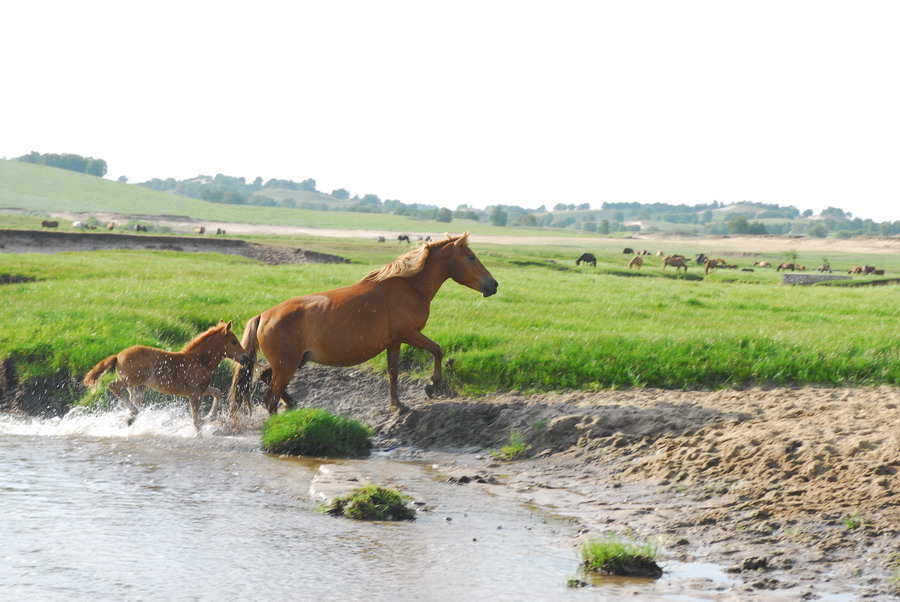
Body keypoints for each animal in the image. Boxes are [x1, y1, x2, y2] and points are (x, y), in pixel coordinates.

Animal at [83, 322, 248, 428]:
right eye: (234, 341)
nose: (245, 358)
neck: (200, 361)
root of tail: (118, 356)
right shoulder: (194, 394)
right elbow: (196, 421)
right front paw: (199, 433)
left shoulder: (201, 389)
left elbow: (217, 393)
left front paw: (209, 416)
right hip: (133, 380)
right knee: (113, 386)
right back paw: (134, 412)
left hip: (138, 387)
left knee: (131, 399)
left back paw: (132, 416)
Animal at [229, 232, 500, 414]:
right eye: (471, 257)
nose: (493, 285)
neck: (410, 286)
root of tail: (263, 315)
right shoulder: (409, 333)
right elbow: (438, 350)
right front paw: (431, 385)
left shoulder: (395, 341)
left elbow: (393, 372)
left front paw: (397, 405)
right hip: (287, 364)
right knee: (269, 397)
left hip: (293, 362)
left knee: (266, 378)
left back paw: (293, 403)